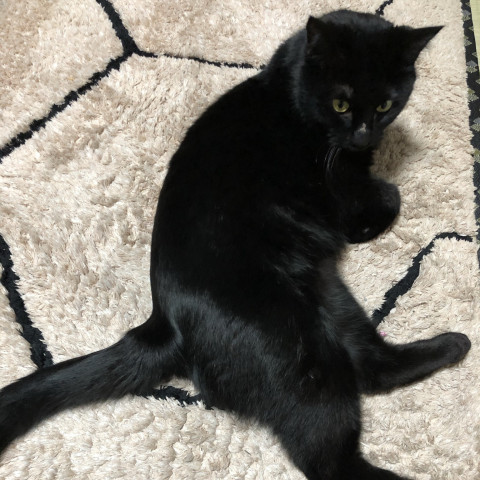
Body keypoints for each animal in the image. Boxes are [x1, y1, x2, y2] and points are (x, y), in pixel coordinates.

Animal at [0, 10, 471, 480]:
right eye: (340, 104)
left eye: (385, 105)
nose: (363, 136)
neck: (285, 93)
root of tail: (164, 324)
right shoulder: (346, 196)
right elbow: (391, 196)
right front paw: (379, 202)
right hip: (300, 347)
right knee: (329, 457)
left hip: (328, 296)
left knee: (375, 369)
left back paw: (455, 344)